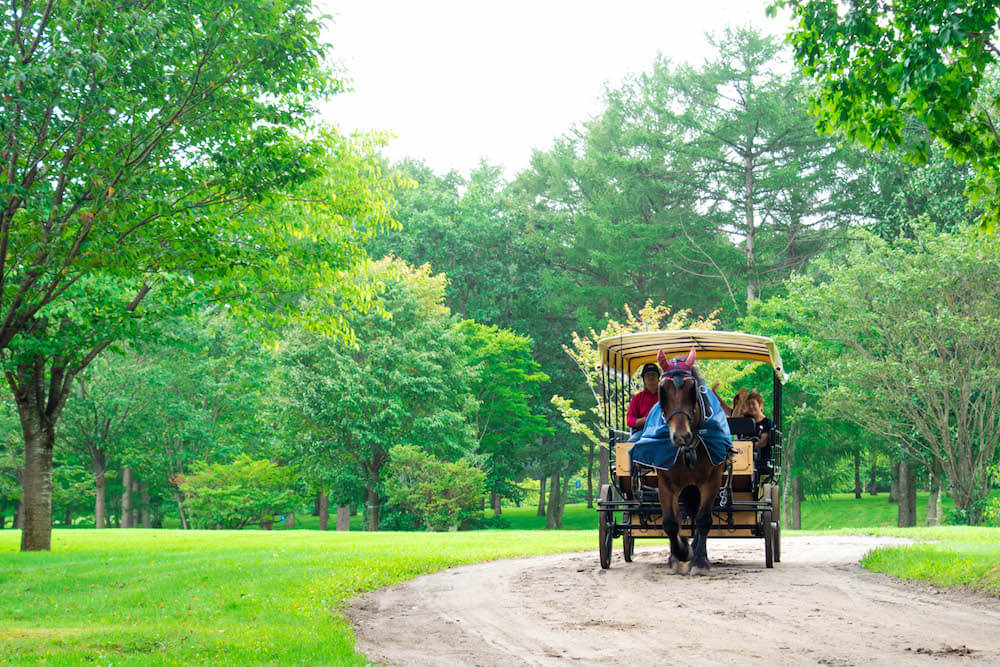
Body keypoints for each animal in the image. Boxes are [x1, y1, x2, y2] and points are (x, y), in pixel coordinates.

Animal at [660, 348, 724, 576]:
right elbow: (671, 522)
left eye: (691, 389)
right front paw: (681, 553)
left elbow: (703, 519)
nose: (681, 436)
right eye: (663, 390)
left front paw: (700, 561)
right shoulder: (666, 482)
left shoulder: (712, 480)